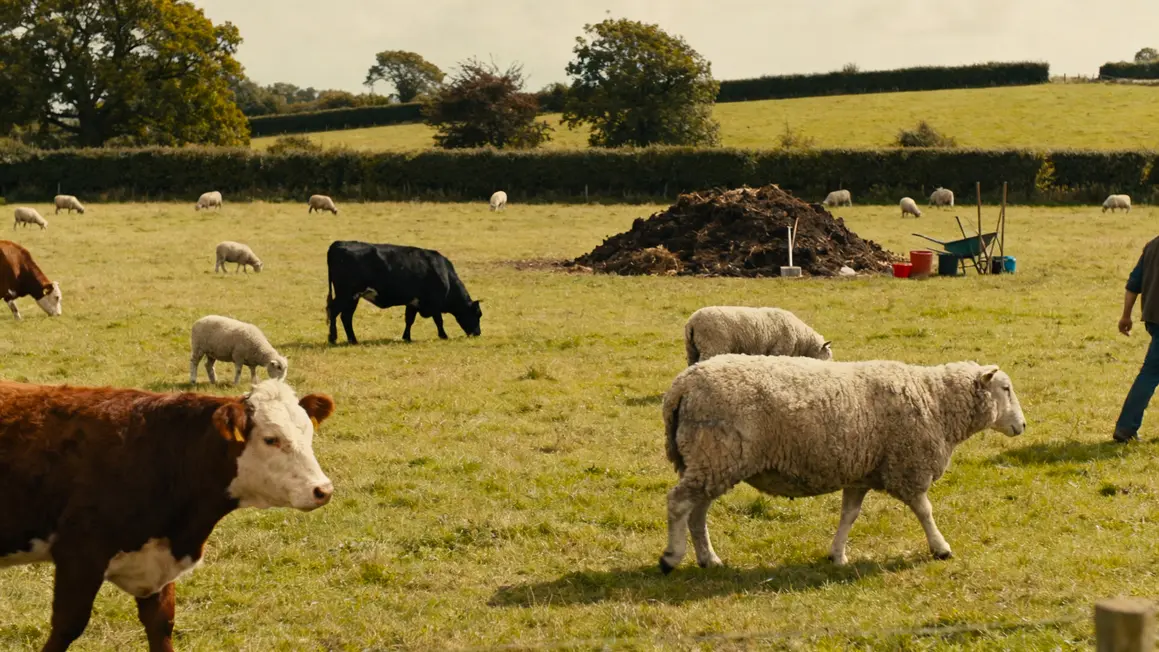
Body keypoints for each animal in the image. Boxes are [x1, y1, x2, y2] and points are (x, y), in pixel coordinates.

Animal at [0, 379, 336, 651]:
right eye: (270, 439)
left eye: (308, 432)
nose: (322, 489)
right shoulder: (79, 557)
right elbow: (66, 627)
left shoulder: (157, 565)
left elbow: (161, 627)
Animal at [326, 240, 482, 344]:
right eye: (478, 314)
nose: (478, 333)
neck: (445, 274)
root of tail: (338, 244)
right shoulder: (434, 303)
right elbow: (439, 320)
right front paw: (444, 336)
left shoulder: (413, 302)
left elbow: (409, 320)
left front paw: (406, 337)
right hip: (347, 295)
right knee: (336, 312)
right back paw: (335, 338)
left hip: (351, 297)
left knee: (344, 316)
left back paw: (350, 339)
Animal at [658, 355, 1026, 572]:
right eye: (1006, 388)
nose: (1022, 425)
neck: (935, 401)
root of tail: (682, 385)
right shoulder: (908, 467)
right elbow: (925, 511)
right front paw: (941, 548)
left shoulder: (860, 474)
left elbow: (848, 516)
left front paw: (837, 555)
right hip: (715, 454)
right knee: (678, 503)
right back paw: (671, 557)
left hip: (709, 461)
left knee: (697, 512)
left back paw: (709, 559)